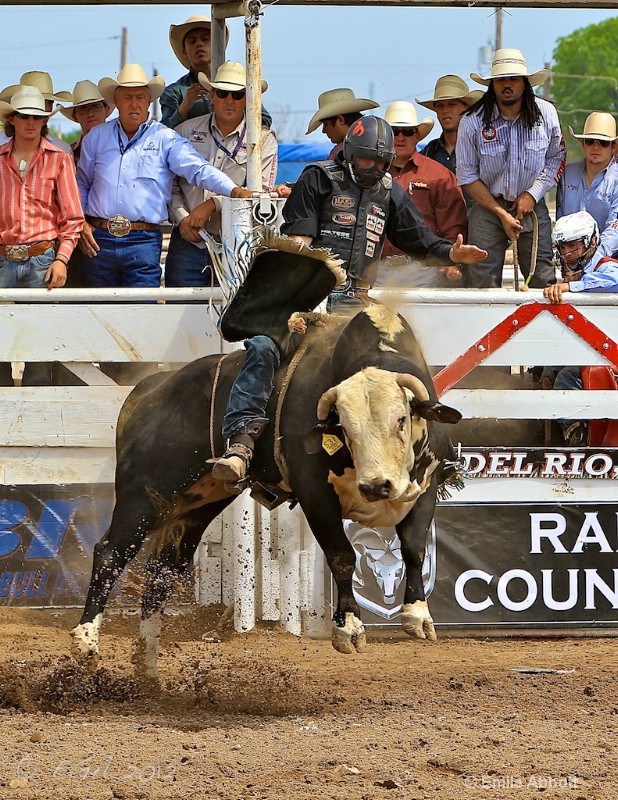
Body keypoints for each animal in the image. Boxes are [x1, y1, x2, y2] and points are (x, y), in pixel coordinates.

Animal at [70, 296, 460, 672]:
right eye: (344, 427)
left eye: (402, 418)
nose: (376, 487)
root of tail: (146, 391)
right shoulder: (316, 494)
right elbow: (342, 555)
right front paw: (348, 627)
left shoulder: (425, 487)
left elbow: (414, 548)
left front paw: (417, 615)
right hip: (145, 496)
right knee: (110, 553)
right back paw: (86, 641)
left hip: (195, 504)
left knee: (162, 573)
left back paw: (148, 664)